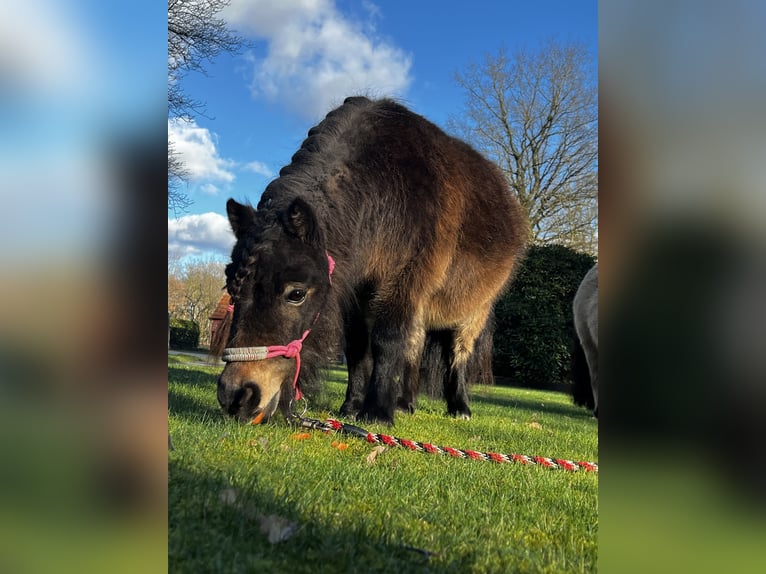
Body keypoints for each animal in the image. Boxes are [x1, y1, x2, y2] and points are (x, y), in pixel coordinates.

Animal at [214, 97, 528, 426]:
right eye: (232, 289)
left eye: (296, 293)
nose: (237, 395)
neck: (382, 192)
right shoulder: (355, 297)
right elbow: (358, 348)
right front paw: (352, 406)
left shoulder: (400, 285)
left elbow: (387, 341)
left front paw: (377, 413)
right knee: (414, 347)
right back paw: (404, 403)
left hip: (474, 312)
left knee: (458, 354)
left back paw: (460, 407)